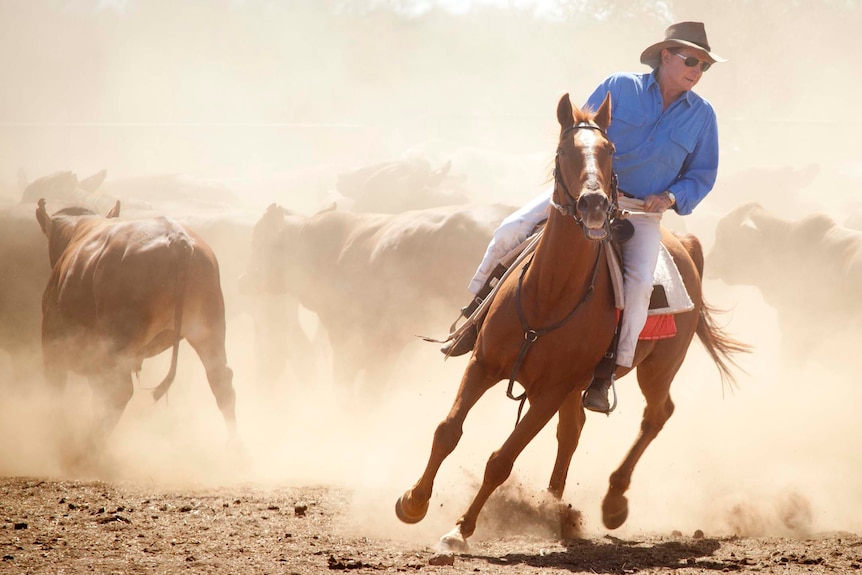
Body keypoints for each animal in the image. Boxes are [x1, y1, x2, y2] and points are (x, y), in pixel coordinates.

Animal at [35, 198, 238, 454]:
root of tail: (177, 239)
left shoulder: (53, 342)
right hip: (209, 330)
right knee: (221, 381)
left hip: (116, 345)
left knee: (117, 393)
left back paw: (89, 448)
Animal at [394, 93, 748, 552]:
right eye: (564, 150)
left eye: (610, 150)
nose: (593, 203)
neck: (548, 295)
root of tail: (686, 246)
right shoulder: (484, 364)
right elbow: (447, 430)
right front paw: (413, 501)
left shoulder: (551, 390)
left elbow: (501, 460)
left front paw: (460, 528)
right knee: (573, 431)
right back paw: (553, 507)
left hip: (657, 368)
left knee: (656, 414)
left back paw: (613, 501)